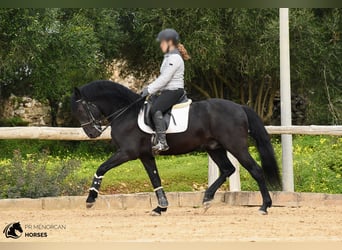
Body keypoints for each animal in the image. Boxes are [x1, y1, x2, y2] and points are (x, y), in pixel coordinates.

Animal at [70, 80, 280, 215]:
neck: (127, 113)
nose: (92, 133)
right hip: (215, 148)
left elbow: (101, 168)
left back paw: (264, 206)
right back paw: (207, 199)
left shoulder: (127, 153)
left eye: (80, 109)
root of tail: (239, 107)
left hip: (236, 146)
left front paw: (90, 199)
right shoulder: (145, 155)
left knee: (255, 170)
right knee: (228, 169)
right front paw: (161, 207)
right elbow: (155, 179)